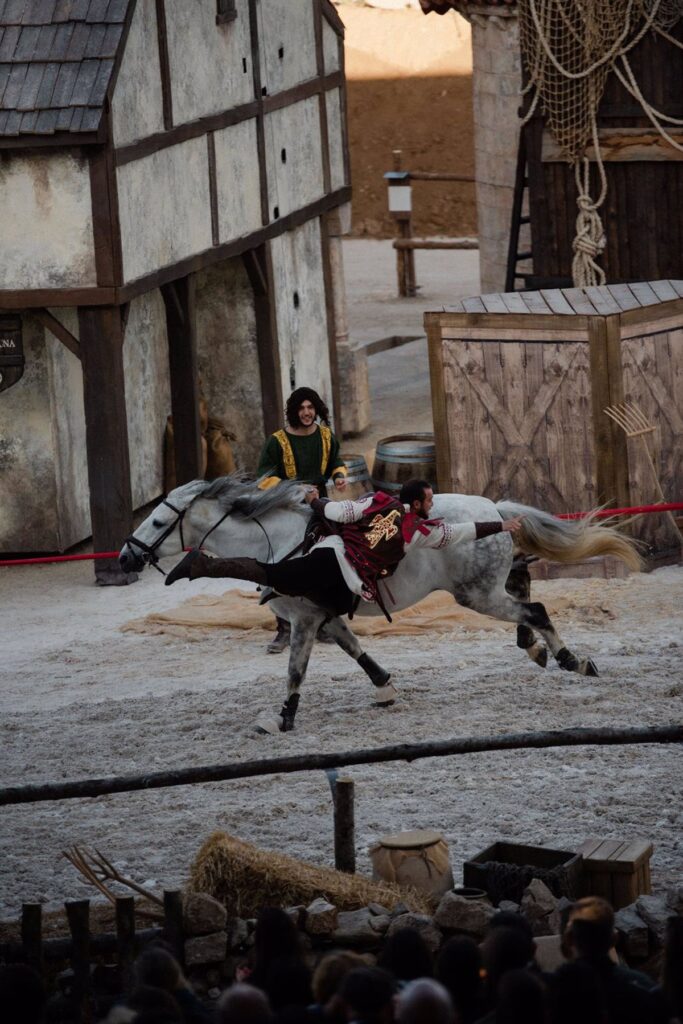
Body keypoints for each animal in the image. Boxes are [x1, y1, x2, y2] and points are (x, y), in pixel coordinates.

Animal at [118, 475, 643, 733]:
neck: (281, 542)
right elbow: (354, 650)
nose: (125, 556)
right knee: (524, 585)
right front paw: (385, 686)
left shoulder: (305, 617)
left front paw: (284, 717)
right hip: (486, 587)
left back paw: (571, 658)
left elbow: (295, 670)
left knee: (533, 609)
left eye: (157, 521)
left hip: (476, 594)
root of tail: (494, 510)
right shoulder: (325, 616)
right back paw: (534, 647)